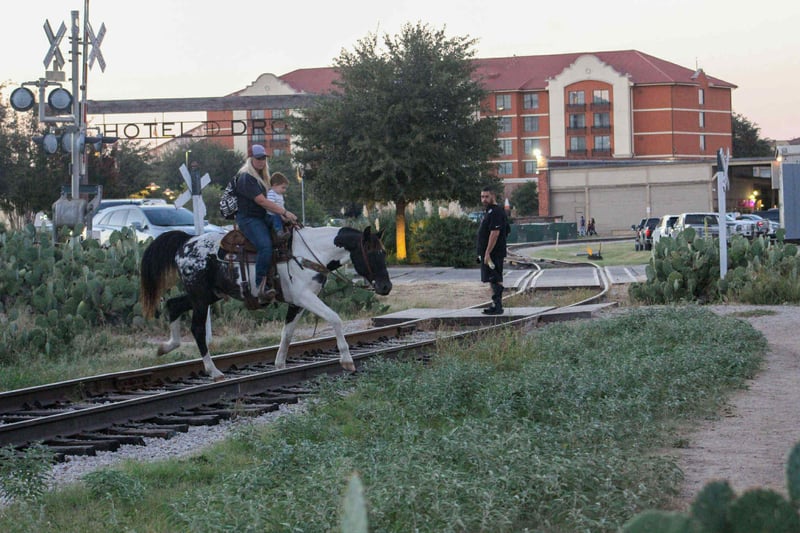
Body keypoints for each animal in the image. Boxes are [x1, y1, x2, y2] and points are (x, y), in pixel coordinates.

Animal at [139, 226, 392, 381]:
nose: (386, 287)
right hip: (201, 297)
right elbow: (335, 319)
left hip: (209, 294)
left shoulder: (298, 302)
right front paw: (347, 360)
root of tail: (187, 241)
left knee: (173, 305)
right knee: (198, 329)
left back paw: (166, 347)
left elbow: (287, 333)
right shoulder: (306, 297)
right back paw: (214, 371)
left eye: (384, 253)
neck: (309, 253)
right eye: (372, 254)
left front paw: (279, 365)